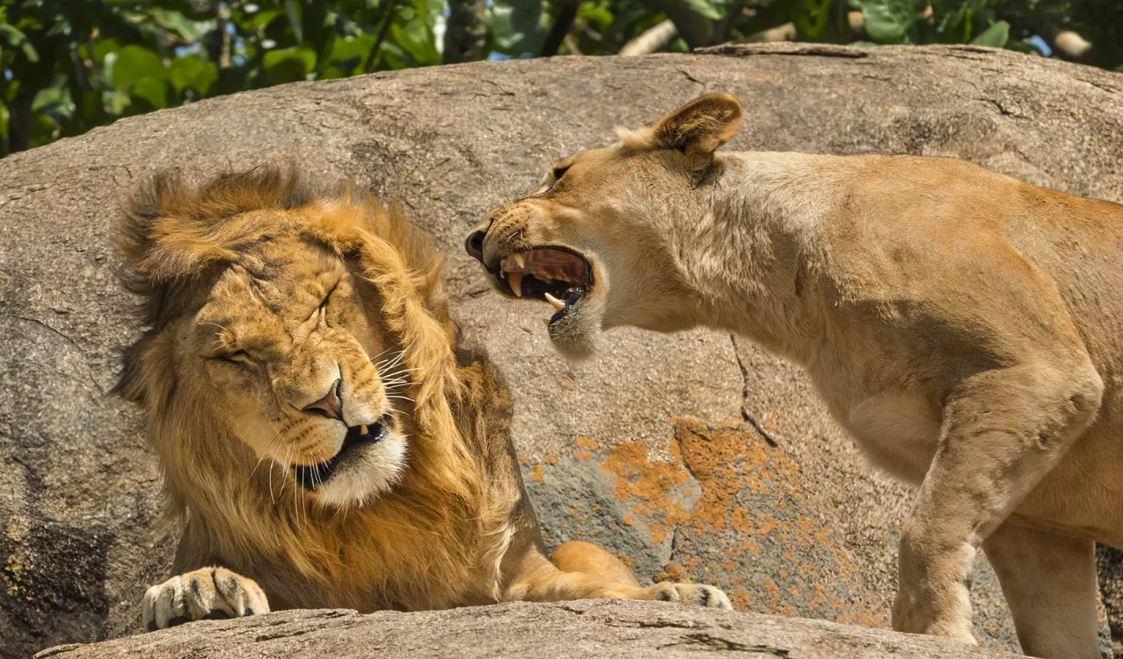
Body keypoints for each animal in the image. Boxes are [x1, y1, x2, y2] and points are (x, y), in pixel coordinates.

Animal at [113, 163, 727, 628]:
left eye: (323, 303)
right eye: (233, 356)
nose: (327, 399)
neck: (382, 508)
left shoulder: (516, 571)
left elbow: (581, 590)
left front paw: (673, 595)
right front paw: (196, 591)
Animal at [464, 94, 1123, 659]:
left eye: (559, 172)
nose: (473, 238)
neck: (788, 289)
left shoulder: (1035, 371)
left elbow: (927, 529)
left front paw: (931, 633)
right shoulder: (1038, 513)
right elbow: (1052, 620)